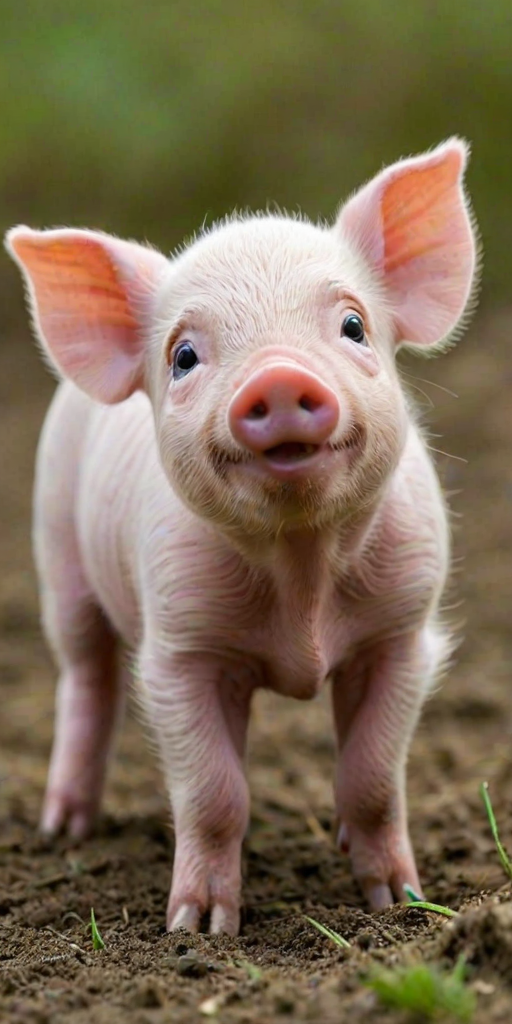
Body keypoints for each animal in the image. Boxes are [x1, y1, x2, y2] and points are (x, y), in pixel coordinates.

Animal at [5, 137, 478, 936]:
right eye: (184, 356)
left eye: (354, 326)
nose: (279, 378)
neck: (302, 569)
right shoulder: (179, 652)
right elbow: (214, 793)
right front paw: (197, 929)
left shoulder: (403, 632)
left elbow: (374, 776)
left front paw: (398, 900)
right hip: (58, 553)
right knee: (86, 678)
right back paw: (63, 830)